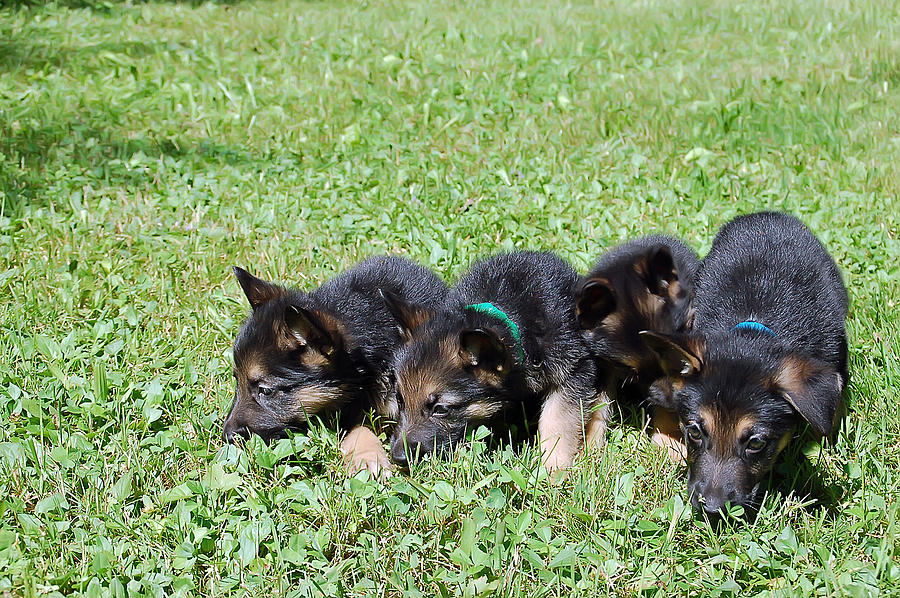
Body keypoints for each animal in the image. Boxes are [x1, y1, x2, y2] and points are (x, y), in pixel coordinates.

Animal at [576, 237, 704, 462]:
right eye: (629, 371)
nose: (678, 405)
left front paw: (668, 443)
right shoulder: (602, 365)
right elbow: (596, 405)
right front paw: (588, 445)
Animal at [644, 213, 848, 516]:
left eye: (756, 443)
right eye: (694, 431)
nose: (712, 510)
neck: (754, 326)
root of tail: (768, 215)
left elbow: (826, 417)